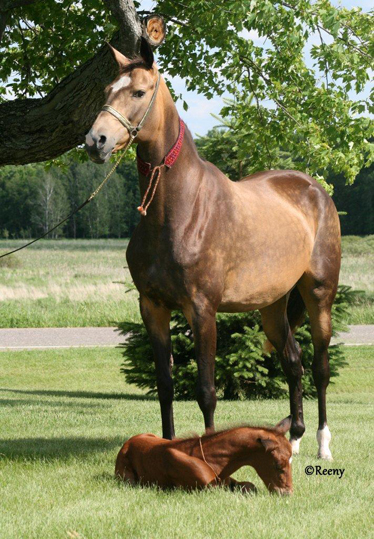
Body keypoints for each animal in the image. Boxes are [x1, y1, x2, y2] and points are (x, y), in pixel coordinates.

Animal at [85, 27, 342, 462]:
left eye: (138, 92)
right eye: (106, 89)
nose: (95, 141)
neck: (178, 209)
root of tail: (316, 190)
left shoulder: (202, 310)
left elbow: (206, 390)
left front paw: (208, 455)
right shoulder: (152, 308)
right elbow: (166, 387)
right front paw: (164, 451)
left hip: (319, 294)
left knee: (321, 367)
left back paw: (324, 444)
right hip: (272, 306)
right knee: (294, 364)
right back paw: (293, 439)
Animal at [115, 418, 294, 498]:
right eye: (278, 465)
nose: (287, 493)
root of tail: (127, 444)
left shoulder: (225, 480)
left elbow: (250, 486)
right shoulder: (206, 488)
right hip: (127, 478)